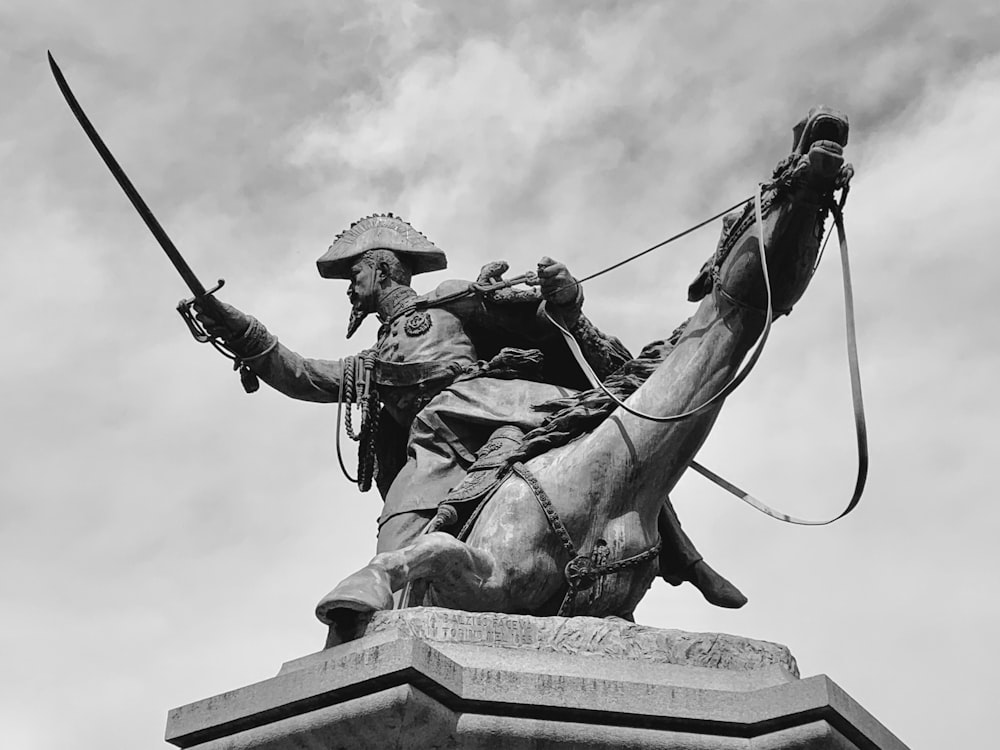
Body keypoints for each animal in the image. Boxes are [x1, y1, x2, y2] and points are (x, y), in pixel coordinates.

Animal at [318, 107, 852, 648]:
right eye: (740, 214)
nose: (822, 129)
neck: (614, 481)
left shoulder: (601, 613)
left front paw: (561, 289)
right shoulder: (477, 581)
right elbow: (429, 548)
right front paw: (357, 589)